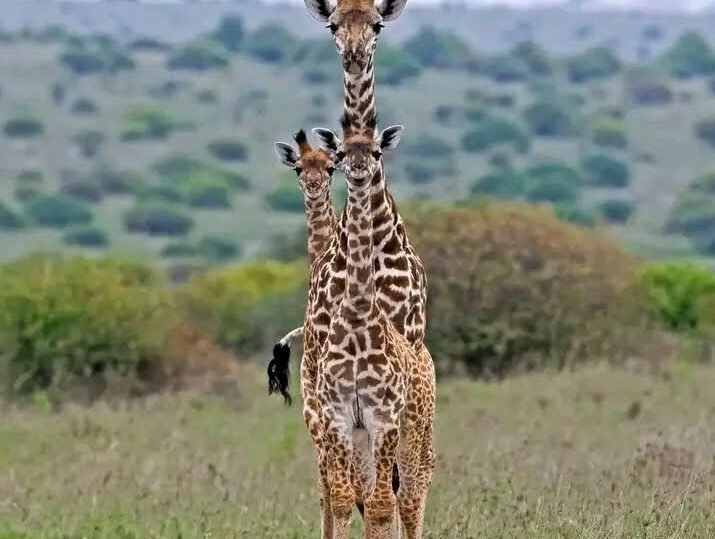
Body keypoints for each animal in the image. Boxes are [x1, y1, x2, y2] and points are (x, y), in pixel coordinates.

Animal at [316, 117, 435, 539]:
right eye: (340, 152)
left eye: (377, 150)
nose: (358, 169)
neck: (356, 316)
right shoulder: (339, 420)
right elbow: (345, 499)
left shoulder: (384, 421)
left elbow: (383, 505)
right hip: (364, 438)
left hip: (414, 435)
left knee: (411, 496)